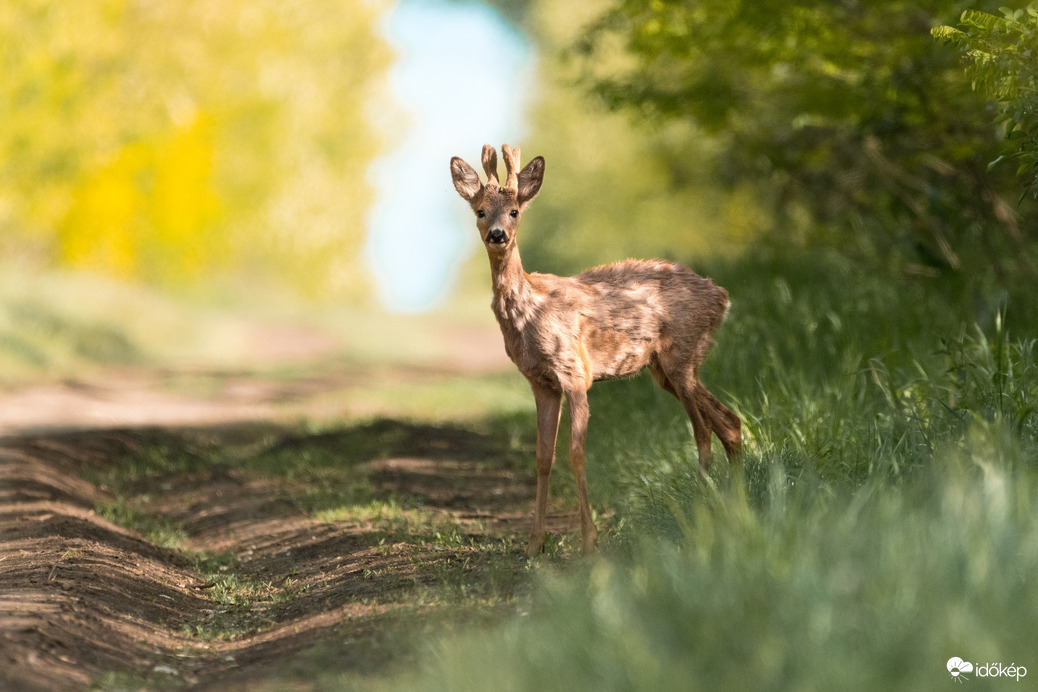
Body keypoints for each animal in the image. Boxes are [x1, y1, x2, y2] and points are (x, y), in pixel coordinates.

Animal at [450, 143, 743, 556]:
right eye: (480, 210)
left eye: (514, 211)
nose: (497, 234)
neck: (530, 310)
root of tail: (722, 297)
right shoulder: (541, 382)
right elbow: (543, 456)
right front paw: (534, 544)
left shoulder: (574, 372)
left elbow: (576, 453)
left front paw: (589, 541)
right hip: (665, 369)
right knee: (728, 422)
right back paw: (734, 504)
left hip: (681, 353)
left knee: (703, 432)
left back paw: (703, 510)